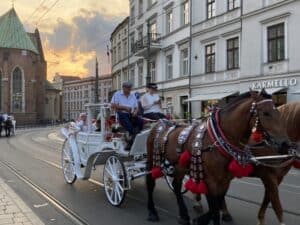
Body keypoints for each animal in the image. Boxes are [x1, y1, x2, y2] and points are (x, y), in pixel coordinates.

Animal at [145, 90, 290, 225]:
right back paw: (152, 212)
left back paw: (184, 215)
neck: (218, 139)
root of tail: (159, 123)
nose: (285, 144)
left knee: (176, 185)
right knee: (150, 183)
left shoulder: (225, 180)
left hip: (179, 167)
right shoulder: (211, 181)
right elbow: (214, 209)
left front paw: (202, 219)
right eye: (266, 113)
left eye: (278, 112)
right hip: (153, 160)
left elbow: (216, 205)